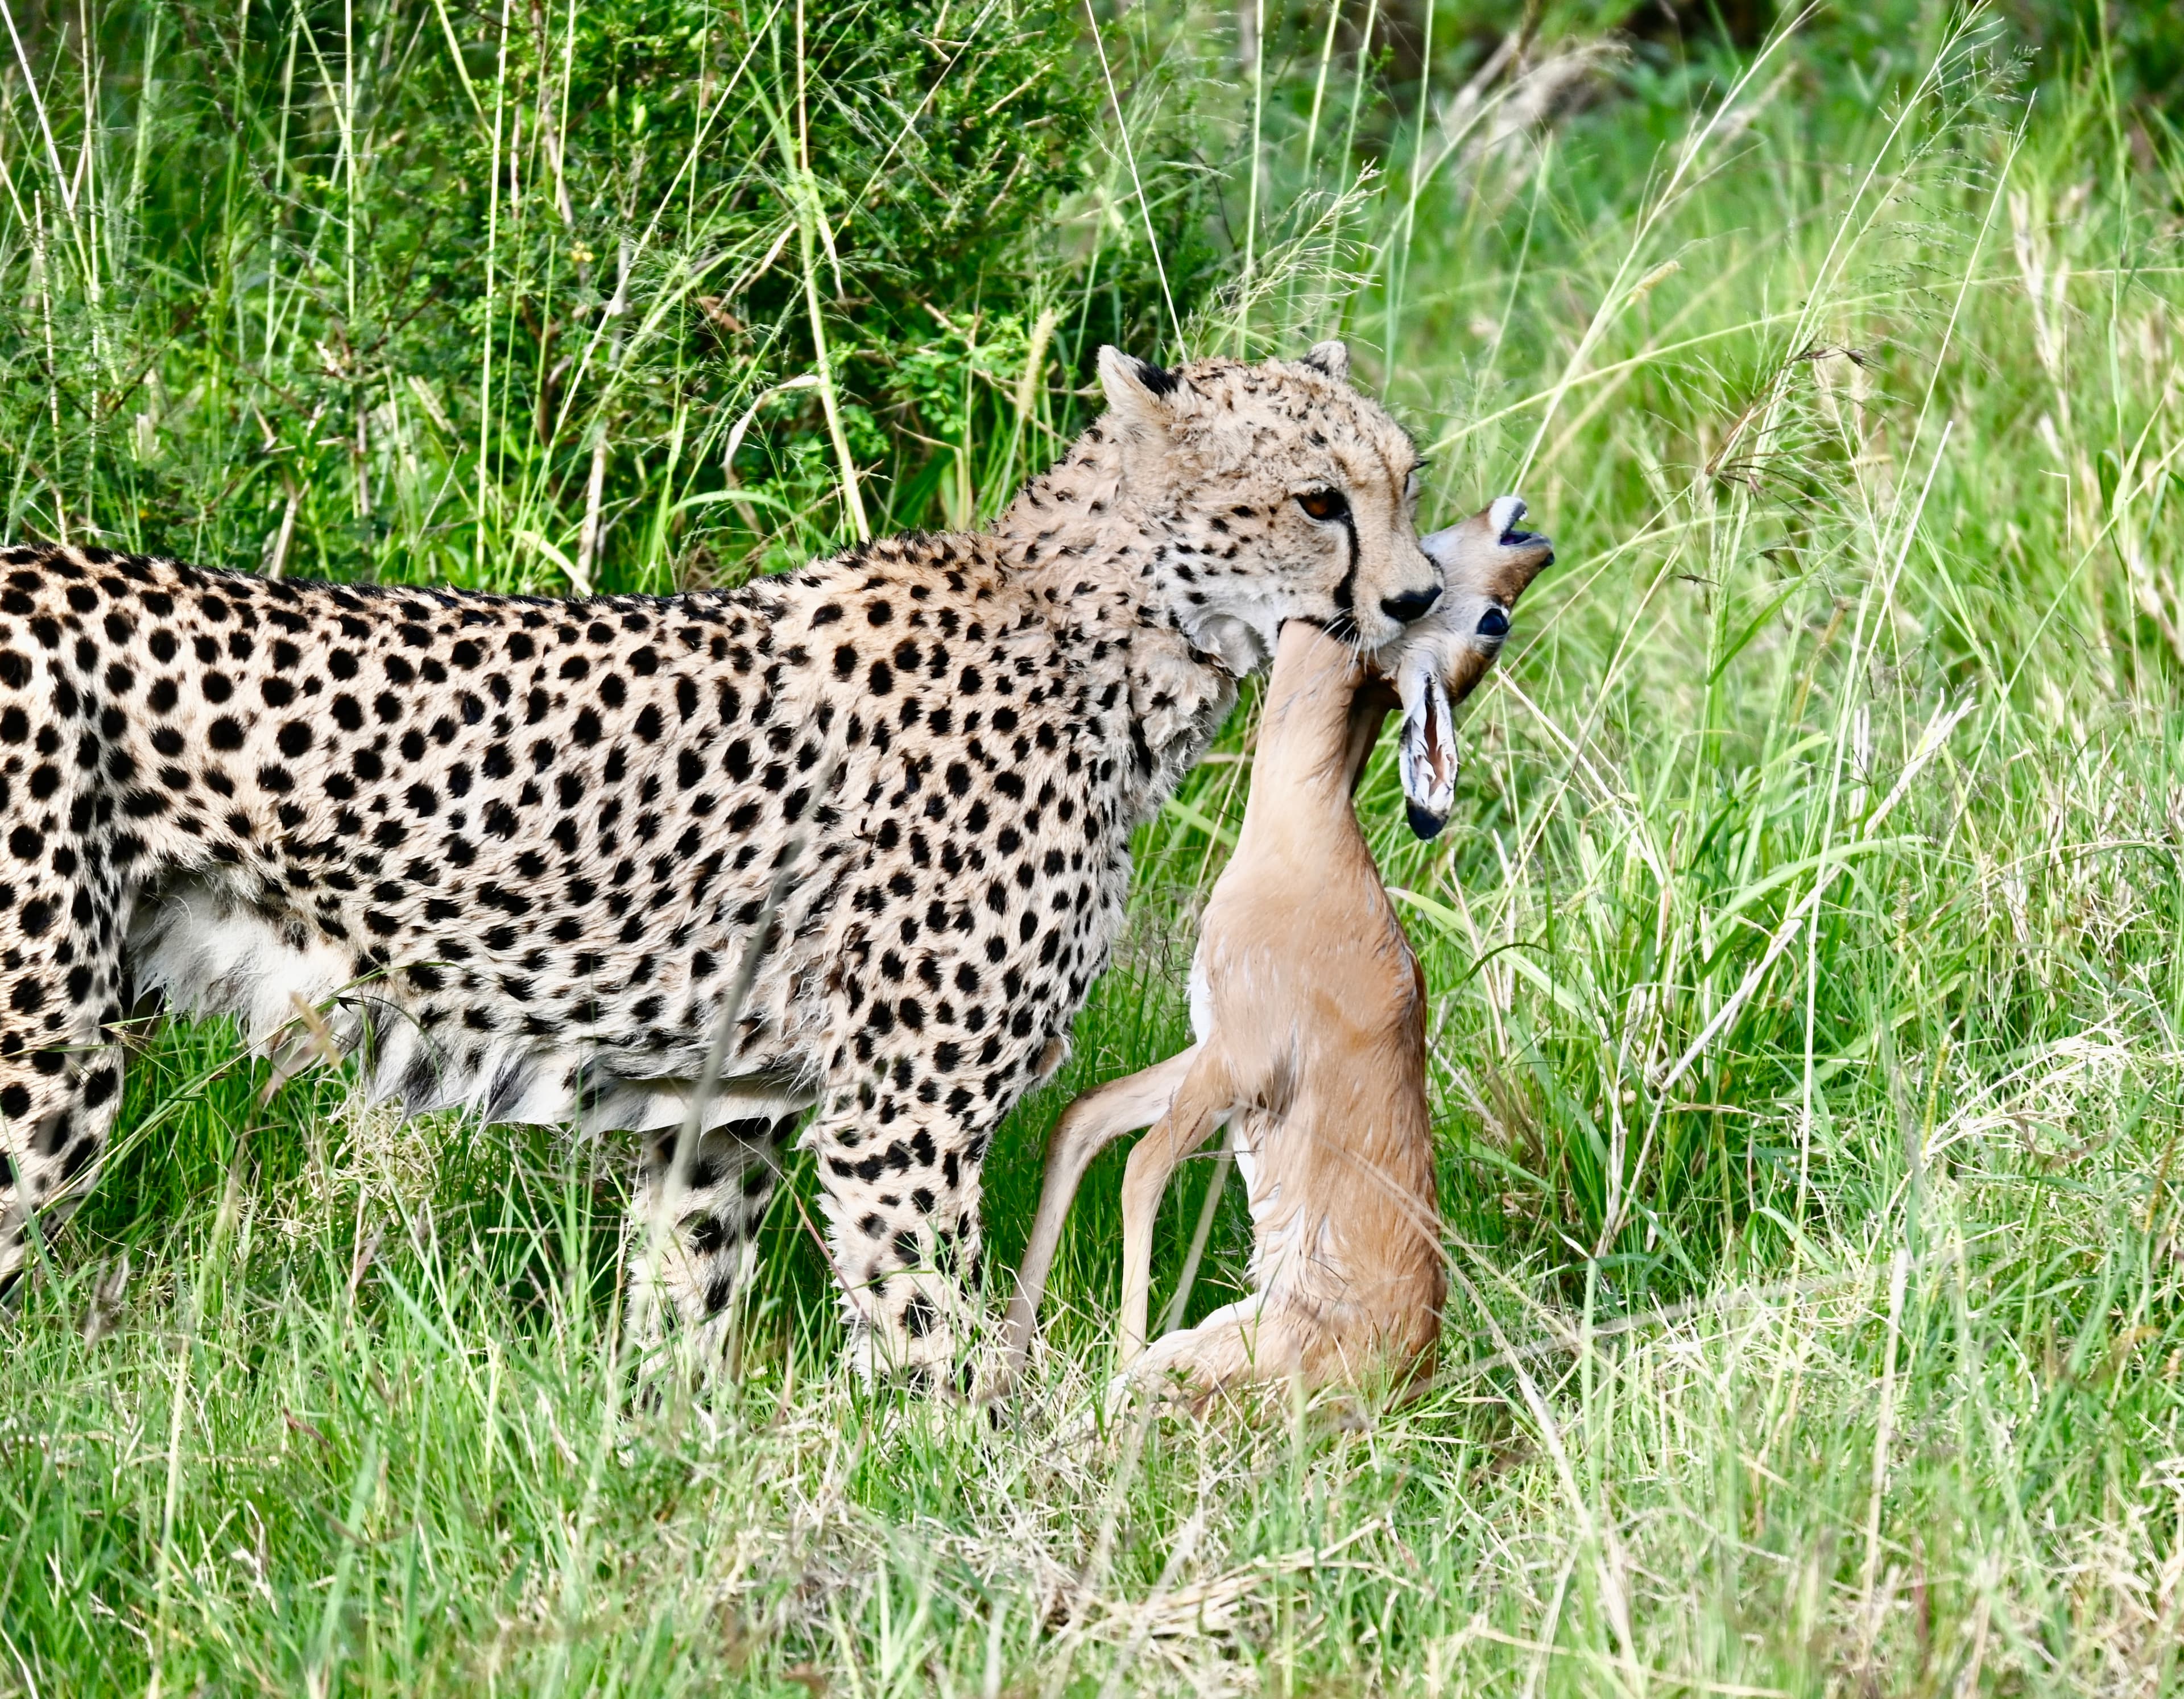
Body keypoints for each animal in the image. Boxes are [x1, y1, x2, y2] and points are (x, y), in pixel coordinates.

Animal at [0, 340, 1445, 1383]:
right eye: (1318, 499)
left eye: (1404, 484)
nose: (1426, 596)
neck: (1111, 646)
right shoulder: (901, 1115)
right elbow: (938, 1346)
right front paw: (978, 1521)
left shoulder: (727, 1112)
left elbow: (682, 1312)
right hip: (45, 1060)